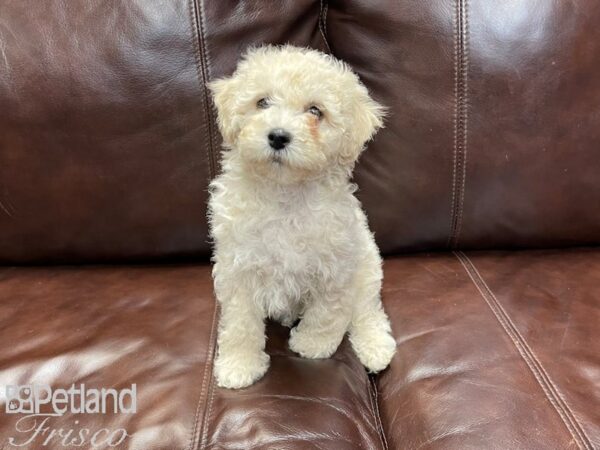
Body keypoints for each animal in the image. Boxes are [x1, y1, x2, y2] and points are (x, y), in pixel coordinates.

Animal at [209, 46, 396, 390]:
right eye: (262, 102)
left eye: (315, 111)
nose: (278, 136)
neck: (285, 195)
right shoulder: (238, 267)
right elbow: (241, 322)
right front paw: (239, 365)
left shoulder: (336, 265)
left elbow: (327, 312)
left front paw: (312, 345)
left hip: (367, 268)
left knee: (366, 311)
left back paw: (375, 346)